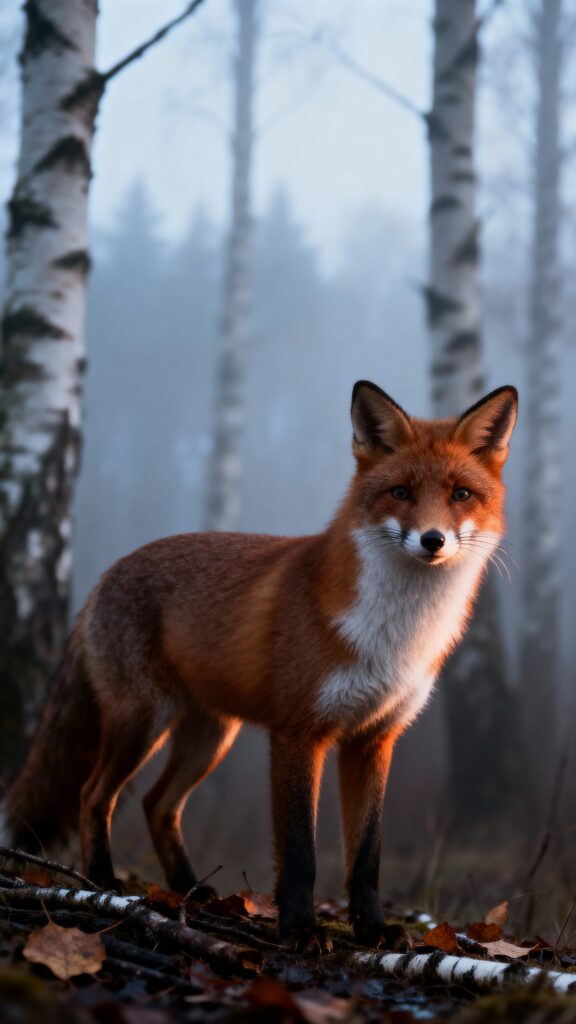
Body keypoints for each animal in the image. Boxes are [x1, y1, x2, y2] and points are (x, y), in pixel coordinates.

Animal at [5, 381, 517, 954]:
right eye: (401, 493)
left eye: (461, 495)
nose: (433, 540)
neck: (394, 633)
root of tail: (106, 575)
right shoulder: (299, 732)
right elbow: (300, 853)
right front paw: (299, 930)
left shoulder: (373, 739)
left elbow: (367, 855)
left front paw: (373, 929)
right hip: (142, 723)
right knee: (95, 795)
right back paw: (103, 884)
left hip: (210, 737)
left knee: (158, 804)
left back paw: (190, 892)